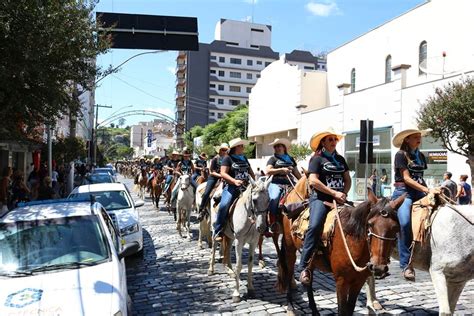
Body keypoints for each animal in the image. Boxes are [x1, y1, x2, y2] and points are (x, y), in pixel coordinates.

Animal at [278, 175, 404, 316]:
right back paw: (290, 307)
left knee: (308, 280)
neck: (351, 240)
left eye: (395, 228)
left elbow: (349, 309)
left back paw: (314, 309)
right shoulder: (341, 281)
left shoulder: (358, 281)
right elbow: (342, 310)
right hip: (290, 249)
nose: (378, 267)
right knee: (289, 273)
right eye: (370, 224)